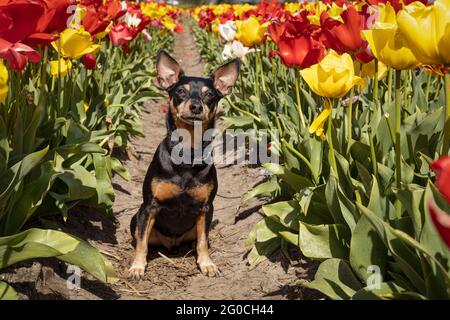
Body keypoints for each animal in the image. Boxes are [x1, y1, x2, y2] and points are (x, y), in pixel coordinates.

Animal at [127, 49, 239, 278]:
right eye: (180, 91)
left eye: (209, 94)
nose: (196, 106)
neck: (187, 153)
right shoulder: (149, 206)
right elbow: (142, 242)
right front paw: (137, 266)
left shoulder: (206, 208)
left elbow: (203, 241)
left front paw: (207, 264)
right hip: (136, 216)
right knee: (143, 237)